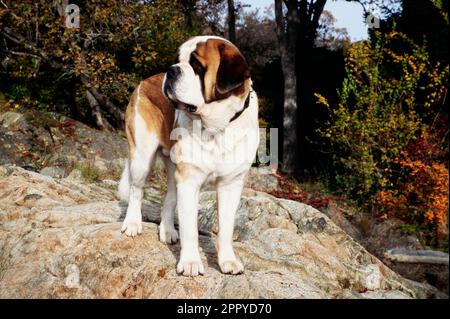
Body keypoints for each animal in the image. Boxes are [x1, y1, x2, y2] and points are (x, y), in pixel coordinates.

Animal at [118, 36, 258, 278]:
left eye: (197, 66)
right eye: (178, 59)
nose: (172, 70)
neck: (216, 128)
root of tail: (145, 81)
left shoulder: (231, 185)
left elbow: (226, 227)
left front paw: (228, 261)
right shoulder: (189, 181)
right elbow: (190, 227)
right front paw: (191, 262)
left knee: (169, 198)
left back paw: (167, 230)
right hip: (141, 157)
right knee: (137, 190)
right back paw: (133, 223)